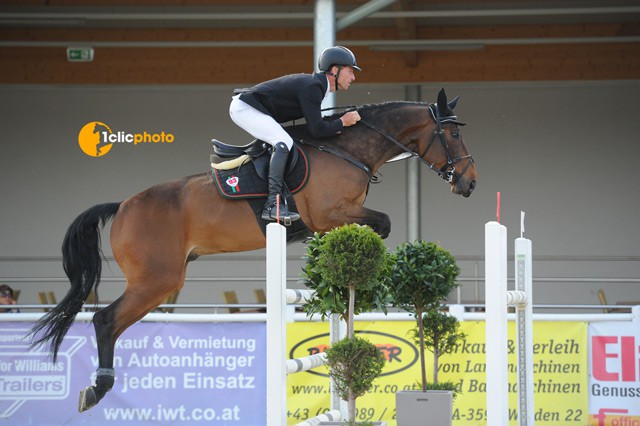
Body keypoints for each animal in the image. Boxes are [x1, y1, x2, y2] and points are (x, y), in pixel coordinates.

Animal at [28, 87, 476, 412]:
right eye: (453, 134)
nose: (469, 183)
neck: (349, 148)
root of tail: (122, 205)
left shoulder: (337, 217)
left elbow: (372, 229)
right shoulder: (330, 213)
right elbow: (382, 224)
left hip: (156, 282)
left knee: (112, 323)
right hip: (157, 280)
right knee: (105, 320)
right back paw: (98, 389)